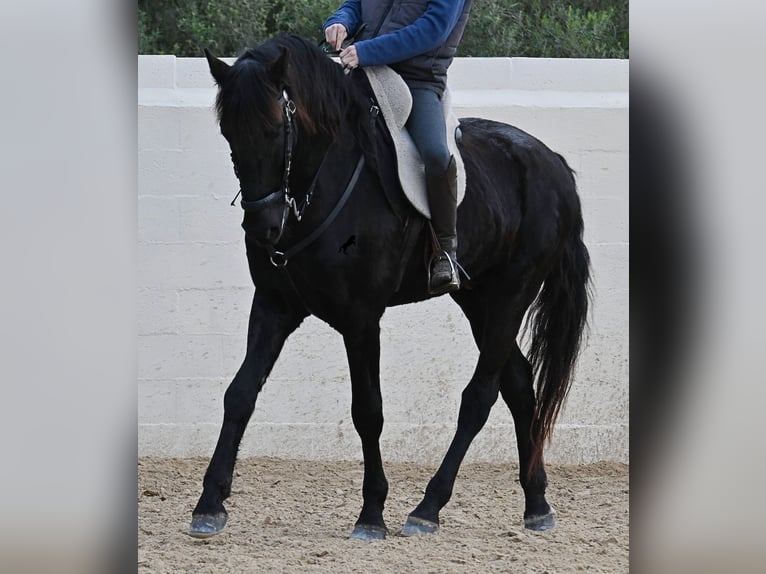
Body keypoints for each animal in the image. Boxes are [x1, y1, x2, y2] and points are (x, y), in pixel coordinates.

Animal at [189, 34, 591, 540]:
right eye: (229, 135)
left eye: (276, 130)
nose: (263, 229)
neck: (319, 188)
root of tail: (553, 165)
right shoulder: (274, 307)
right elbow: (240, 394)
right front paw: (209, 503)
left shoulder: (361, 319)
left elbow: (368, 411)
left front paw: (371, 513)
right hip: (479, 299)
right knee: (518, 385)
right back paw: (536, 503)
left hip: (511, 295)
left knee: (479, 398)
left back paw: (428, 507)